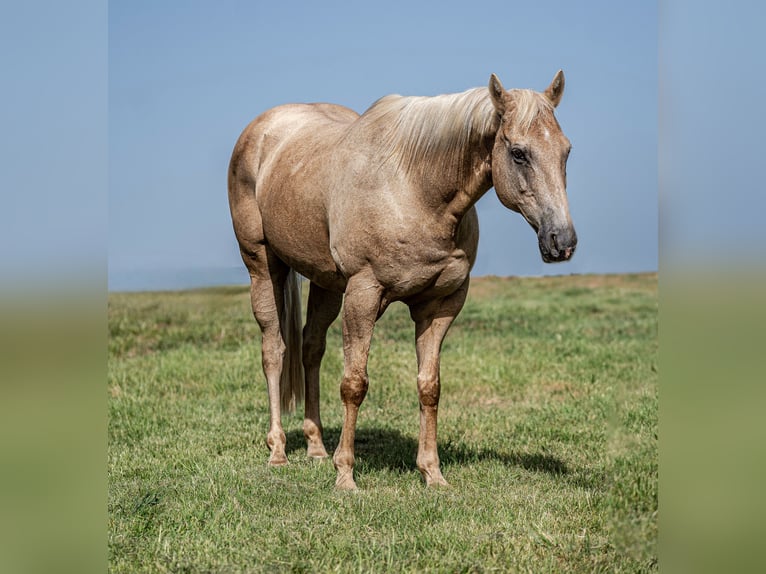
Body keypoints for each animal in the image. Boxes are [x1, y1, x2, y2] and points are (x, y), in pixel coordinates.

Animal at [228, 71, 576, 489]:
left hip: (326, 283)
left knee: (311, 347)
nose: (562, 241)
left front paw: (432, 473)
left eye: (566, 151)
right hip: (264, 267)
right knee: (274, 350)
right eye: (519, 153)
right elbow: (354, 384)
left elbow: (429, 386)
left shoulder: (439, 306)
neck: (415, 189)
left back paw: (315, 446)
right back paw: (278, 451)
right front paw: (346, 476)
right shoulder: (363, 295)